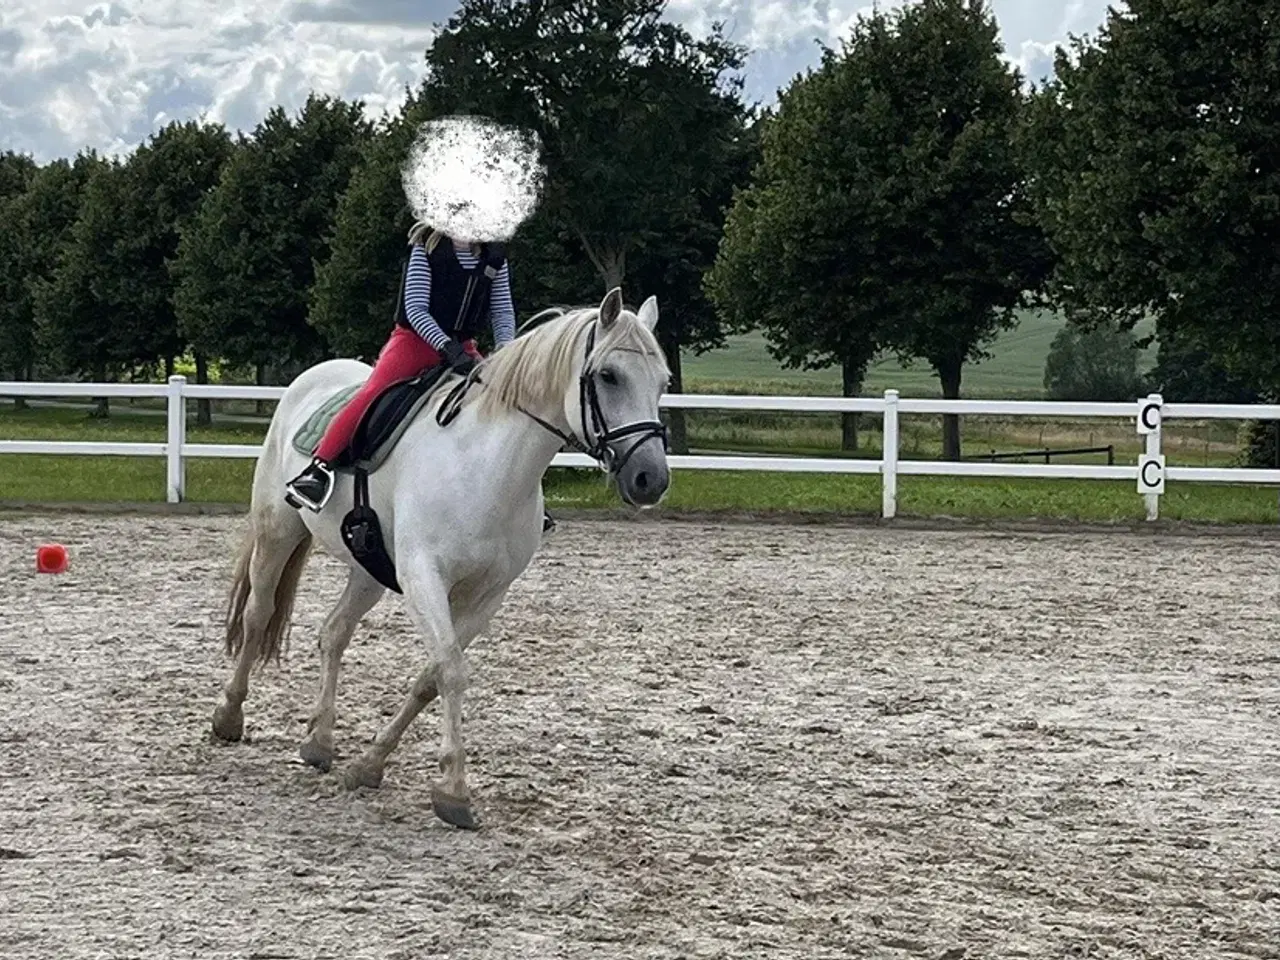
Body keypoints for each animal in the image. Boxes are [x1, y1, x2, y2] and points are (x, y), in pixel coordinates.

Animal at [209, 286, 672, 829]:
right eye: (609, 375)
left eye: (663, 382)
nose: (651, 480)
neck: (489, 465)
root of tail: (313, 376)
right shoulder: (423, 577)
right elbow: (450, 670)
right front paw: (453, 791)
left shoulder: (487, 595)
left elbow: (431, 676)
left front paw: (370, 764)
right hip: (277, 532)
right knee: (259, 614)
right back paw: (229, 715)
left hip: (368, 567)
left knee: (333, 633)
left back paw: (319, 741)